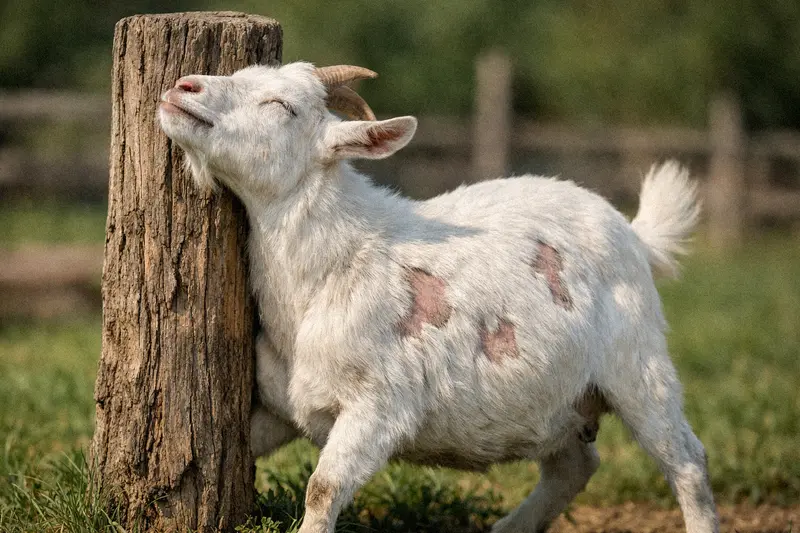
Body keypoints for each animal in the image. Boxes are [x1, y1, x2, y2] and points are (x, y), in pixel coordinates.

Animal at [158, 62, 718, 533]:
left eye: (282, 105)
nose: (182, 87)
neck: (330, 269)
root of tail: (634, 232)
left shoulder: (379, 407)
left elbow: (323, 489)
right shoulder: (282, 406)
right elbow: (237, 449)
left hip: (637, 363)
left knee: (687, 460)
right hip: (556, 399)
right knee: (575, 465)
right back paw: (508, 529)